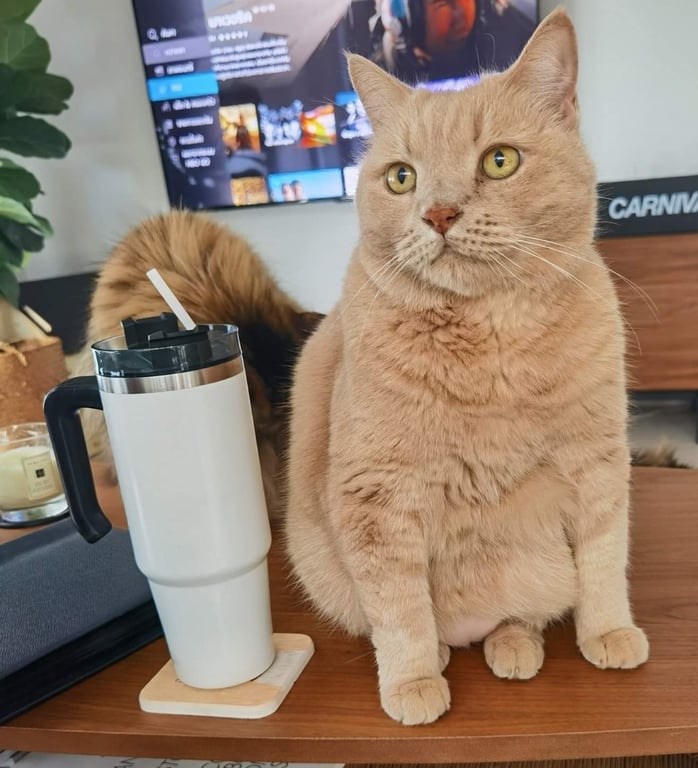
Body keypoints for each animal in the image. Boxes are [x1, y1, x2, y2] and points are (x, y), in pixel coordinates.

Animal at [285, 8, 649, 726]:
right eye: (401, 177)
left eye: (499, 161)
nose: (439, 213)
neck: (492, 345)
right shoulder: (375, 498)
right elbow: (400, 611)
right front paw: (412, 681)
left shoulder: (598, 463)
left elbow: (602, 563)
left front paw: (608, 631)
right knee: (414, 624)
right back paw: (446, 652)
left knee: (515, 613)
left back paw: (513, 643)